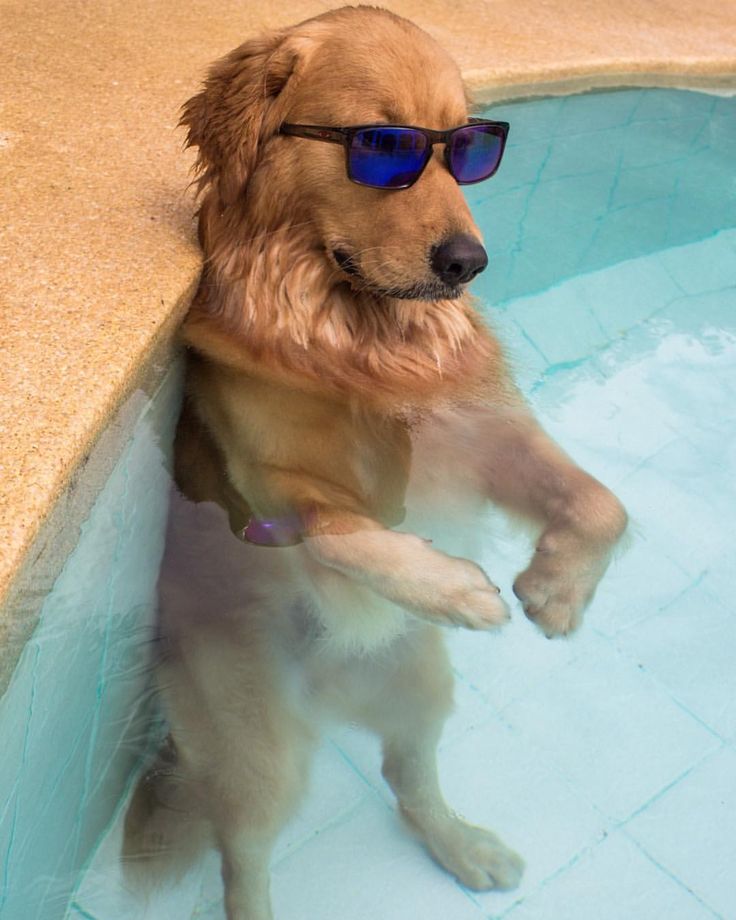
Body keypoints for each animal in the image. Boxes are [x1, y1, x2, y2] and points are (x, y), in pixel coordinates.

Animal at [123, 9, 628, 920]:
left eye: (470, 147)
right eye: (384, 145)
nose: (469, 261)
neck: (350, 340)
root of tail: (319, 684)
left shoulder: (482, 429)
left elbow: (601, 501)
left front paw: (560, 587)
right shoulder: (263, 488)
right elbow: (339, 533)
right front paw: (452, 586)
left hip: (419, 682)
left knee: (407, 773)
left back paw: (462, 845)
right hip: (259, 748)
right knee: (242, 861)